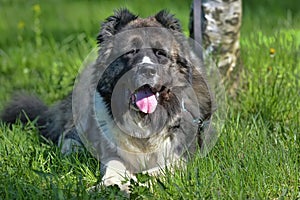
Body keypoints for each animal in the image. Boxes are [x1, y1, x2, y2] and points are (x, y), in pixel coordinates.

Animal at [0, 9, 216, 191]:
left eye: (160, 53)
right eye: (131, 52)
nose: (147, 70)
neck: (143, 120)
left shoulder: (180, 158)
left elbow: (155, 173)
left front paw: (136, 185)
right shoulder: (113, 151)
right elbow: (113, 167)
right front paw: (109, 185)